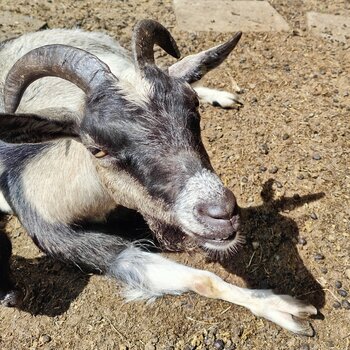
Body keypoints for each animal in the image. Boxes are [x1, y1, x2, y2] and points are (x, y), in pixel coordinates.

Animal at [0, 19, 318, 336]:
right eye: (97, 149)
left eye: (194, 111)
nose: (221, 214)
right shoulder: (78, 246)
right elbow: (204, 279)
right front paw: (281, 308)